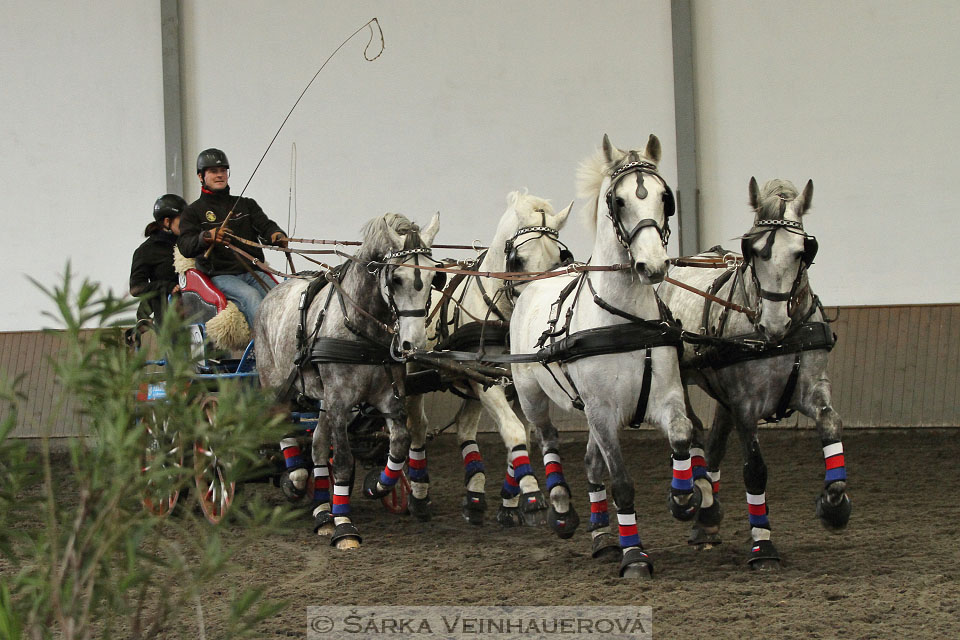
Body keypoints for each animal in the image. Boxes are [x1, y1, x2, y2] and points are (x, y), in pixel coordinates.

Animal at [253, 212, 436, 548]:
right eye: (396, 278)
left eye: (433, 280)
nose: (412, 345)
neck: (361, 326)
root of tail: (273, 292)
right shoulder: (339, 401)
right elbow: (342, 461)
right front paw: (345, 528)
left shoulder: (387, 398)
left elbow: (399, 444)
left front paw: (378, 486)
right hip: (275, 383)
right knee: (283, 427)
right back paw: (296, 480)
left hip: (324, 399)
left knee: (316, 444)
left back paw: (323, 511)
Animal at [404, 192, 568, 528]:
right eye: (518, 260)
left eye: (560, 259)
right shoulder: (490, 385)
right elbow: (514, 431)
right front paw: (532, 496)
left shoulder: (516, 385)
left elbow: (523, 437)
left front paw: (509, 503)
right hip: (417, 371)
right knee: (416, 427)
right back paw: (417, 494)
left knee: (465, 428)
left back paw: (475, 494)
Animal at [510, 132, 696, 576]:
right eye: (619, 201)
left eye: (665, 197)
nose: (653, 265)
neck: (623, 318)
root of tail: (538, 279)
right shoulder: (603, 410)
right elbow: (622, 484)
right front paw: (634, 556)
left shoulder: (665, 397)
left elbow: (682, 435)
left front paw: (682, 499)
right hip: (532, 394)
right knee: (547, 438)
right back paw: (562, 508)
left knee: (591, 465)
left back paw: (603, 539)